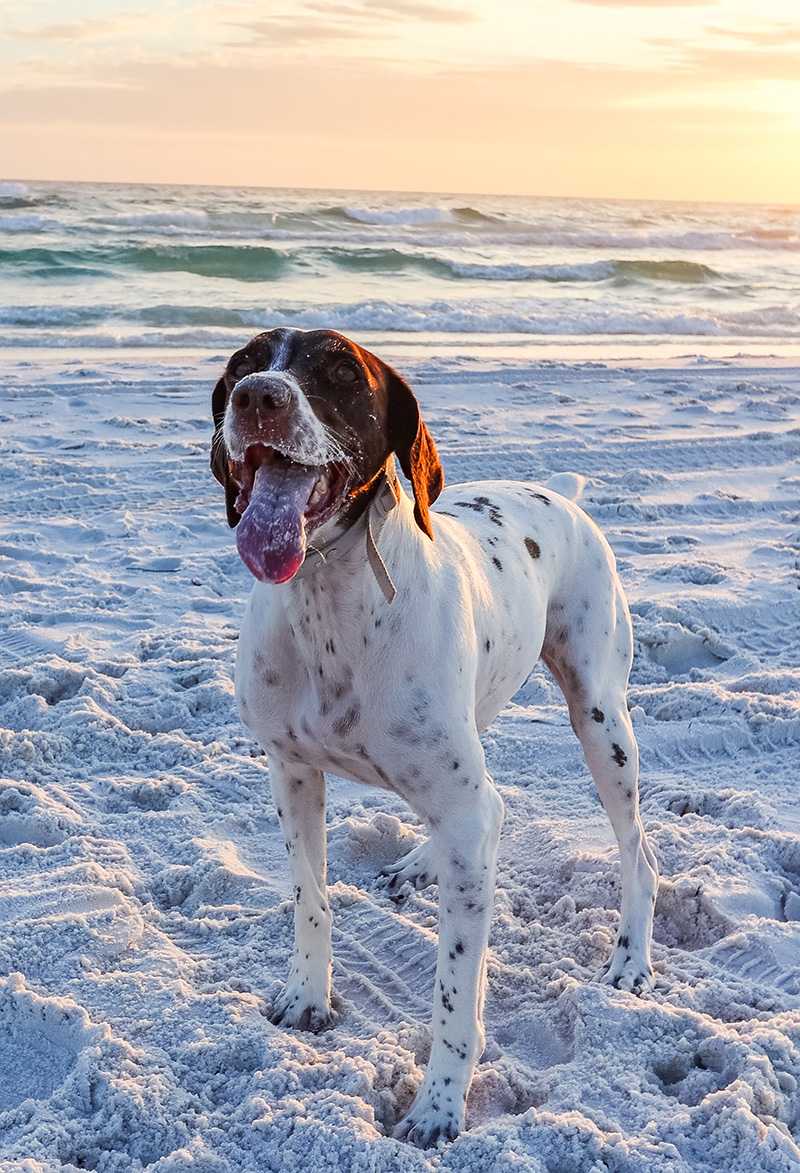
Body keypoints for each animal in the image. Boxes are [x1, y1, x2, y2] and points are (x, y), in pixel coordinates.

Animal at [208, 328, 656, 1144]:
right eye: (242, 364)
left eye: (339, 370)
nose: (260, 397)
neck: (328, 603)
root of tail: (561, 494)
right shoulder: (291, 773)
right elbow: (311, 899)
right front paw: (308, 997)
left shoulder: (464, 811)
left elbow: (454, 990)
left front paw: (440, 1103)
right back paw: (422, 861)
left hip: (602, 719)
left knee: (638, 851)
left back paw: (631, 958)